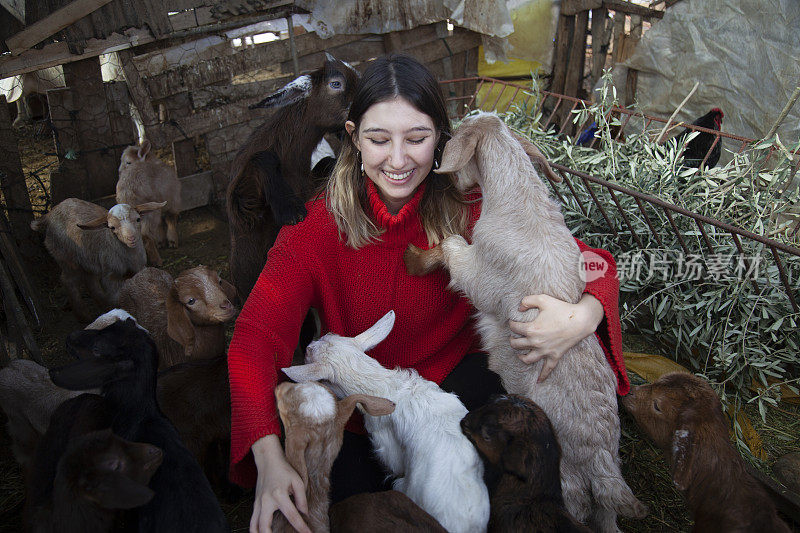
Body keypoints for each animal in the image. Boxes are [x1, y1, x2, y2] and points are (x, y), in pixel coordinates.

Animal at [227, 53, 360, 300]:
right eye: (335, 84)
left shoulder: (310, 182)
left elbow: (326, 163)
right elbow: (262, 158)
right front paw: (290, 210)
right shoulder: (243, 210)